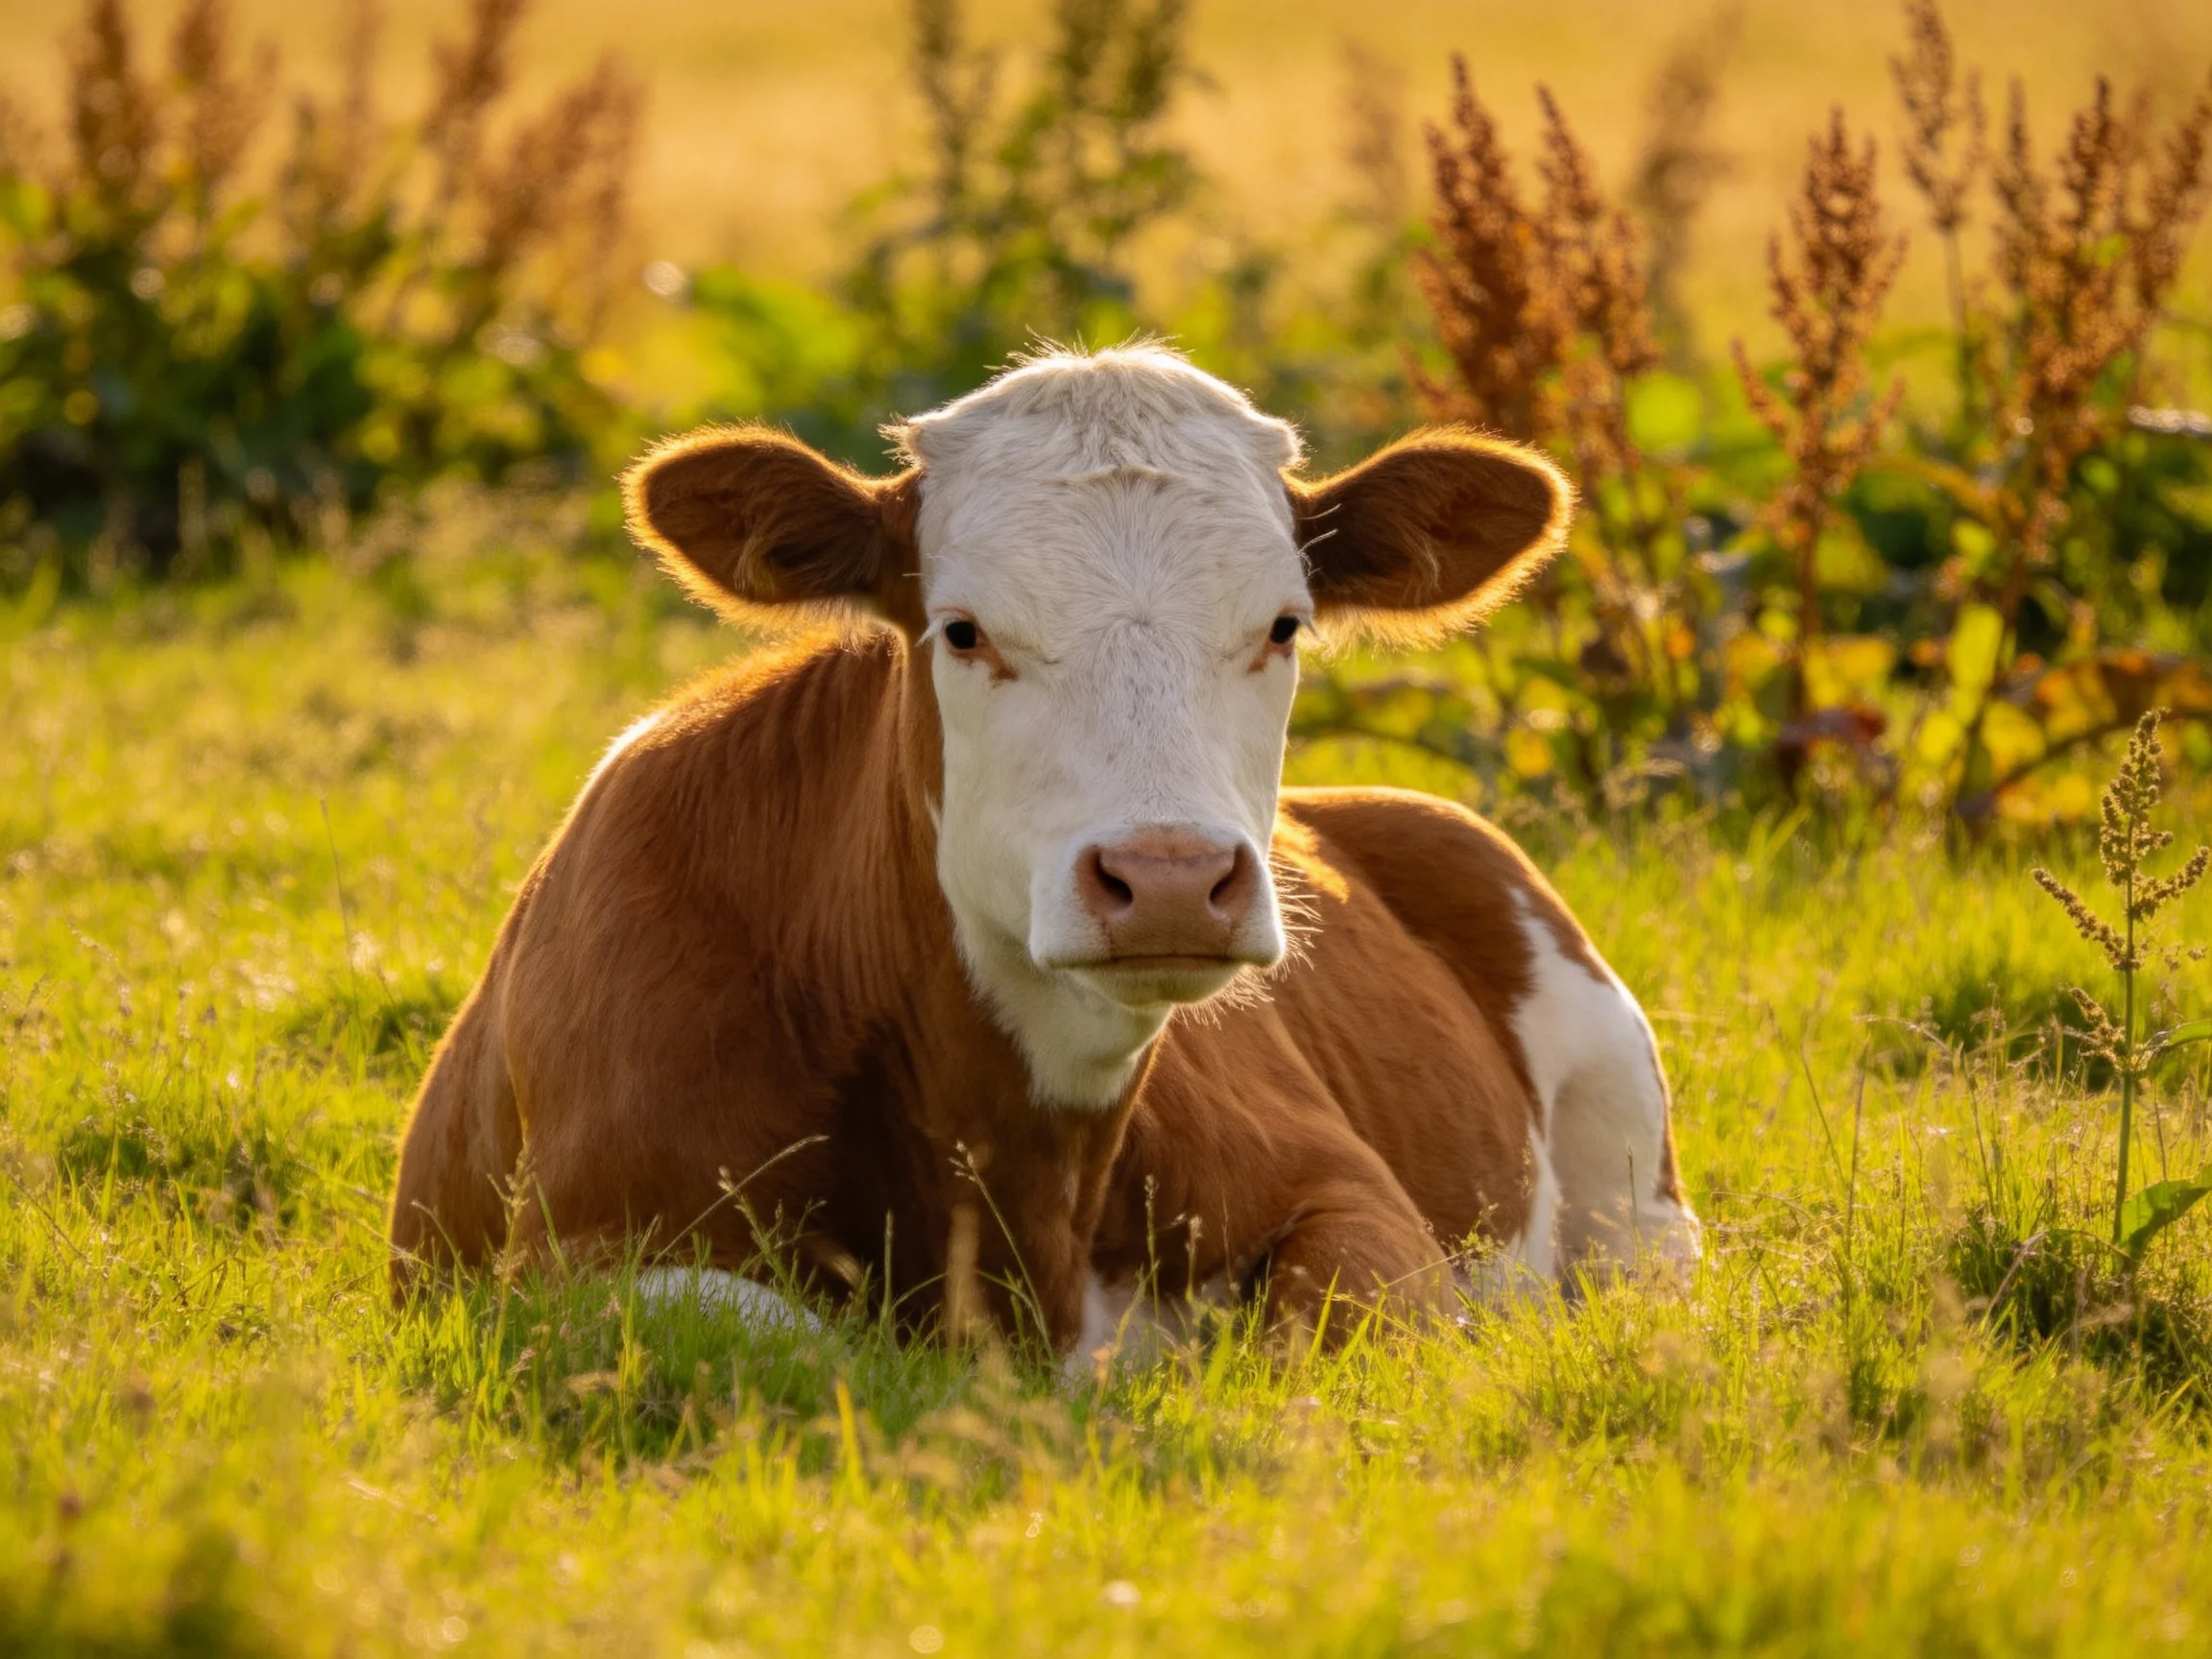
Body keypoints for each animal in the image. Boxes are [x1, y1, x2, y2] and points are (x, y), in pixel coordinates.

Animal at [388, 345, 1700, 1354]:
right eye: (964, 630)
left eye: (1285, 625)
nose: (1170, 880)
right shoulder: (575, 1257)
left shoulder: (1352, 1195)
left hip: (1628, 1157)